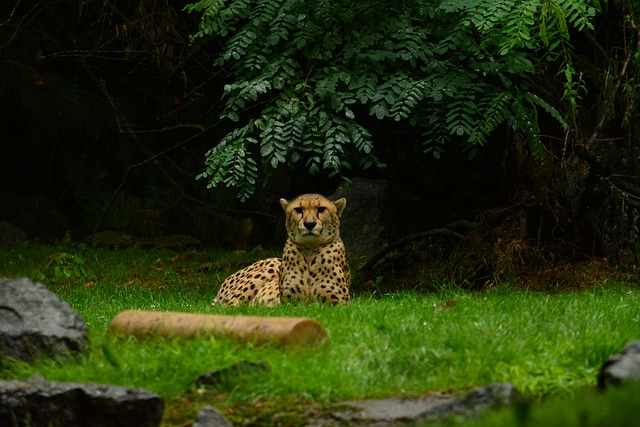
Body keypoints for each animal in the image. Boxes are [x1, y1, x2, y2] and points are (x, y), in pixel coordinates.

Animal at [214, 194, 350, 308]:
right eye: (298, 210)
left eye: (321, 209)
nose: (309, 224)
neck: (310, 249)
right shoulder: (289, 303)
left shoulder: (338, 304)